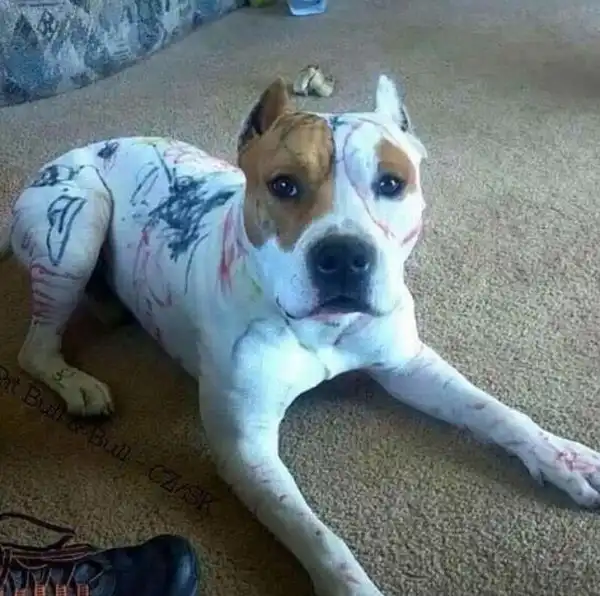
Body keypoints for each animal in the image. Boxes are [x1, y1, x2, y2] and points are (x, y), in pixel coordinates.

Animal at [1, 75, 599, 596]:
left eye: (391, 183)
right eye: (283, 185)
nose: (343, 256)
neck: (321, 327)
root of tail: (64, 156)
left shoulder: (406, 365)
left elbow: (495, 412)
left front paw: (565, 459)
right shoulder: (245, 448)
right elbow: (319, 535)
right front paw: (353, 587)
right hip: (77, 225)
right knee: (35, 347)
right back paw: (77, 382)